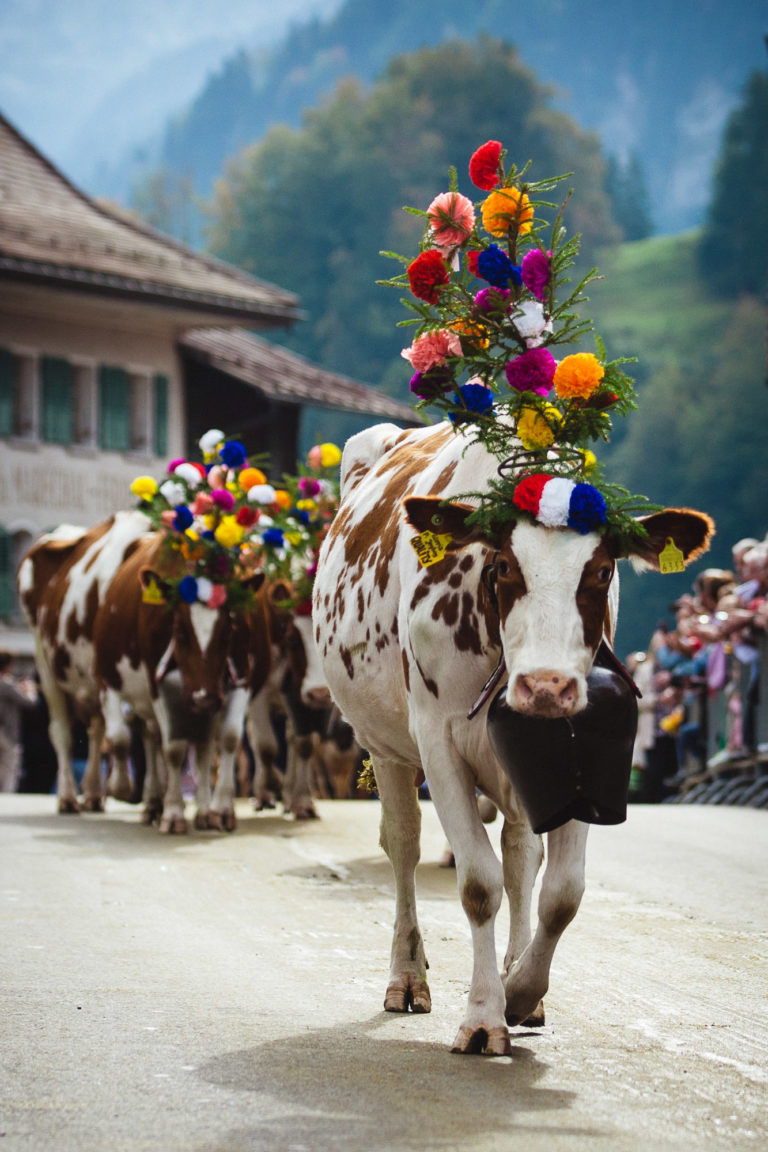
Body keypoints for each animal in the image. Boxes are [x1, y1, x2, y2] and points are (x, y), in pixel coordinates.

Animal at [313, 421, 713, 1055]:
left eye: (602, 571)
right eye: (503, 566)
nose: (545, 685)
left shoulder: (579, 761)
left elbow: (562, 892)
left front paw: (522, 990)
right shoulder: (439, 743)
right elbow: (479, 883)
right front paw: (483, 1016)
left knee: (523, 854)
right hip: (386, 749)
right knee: (403, 845)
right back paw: (407, 976)